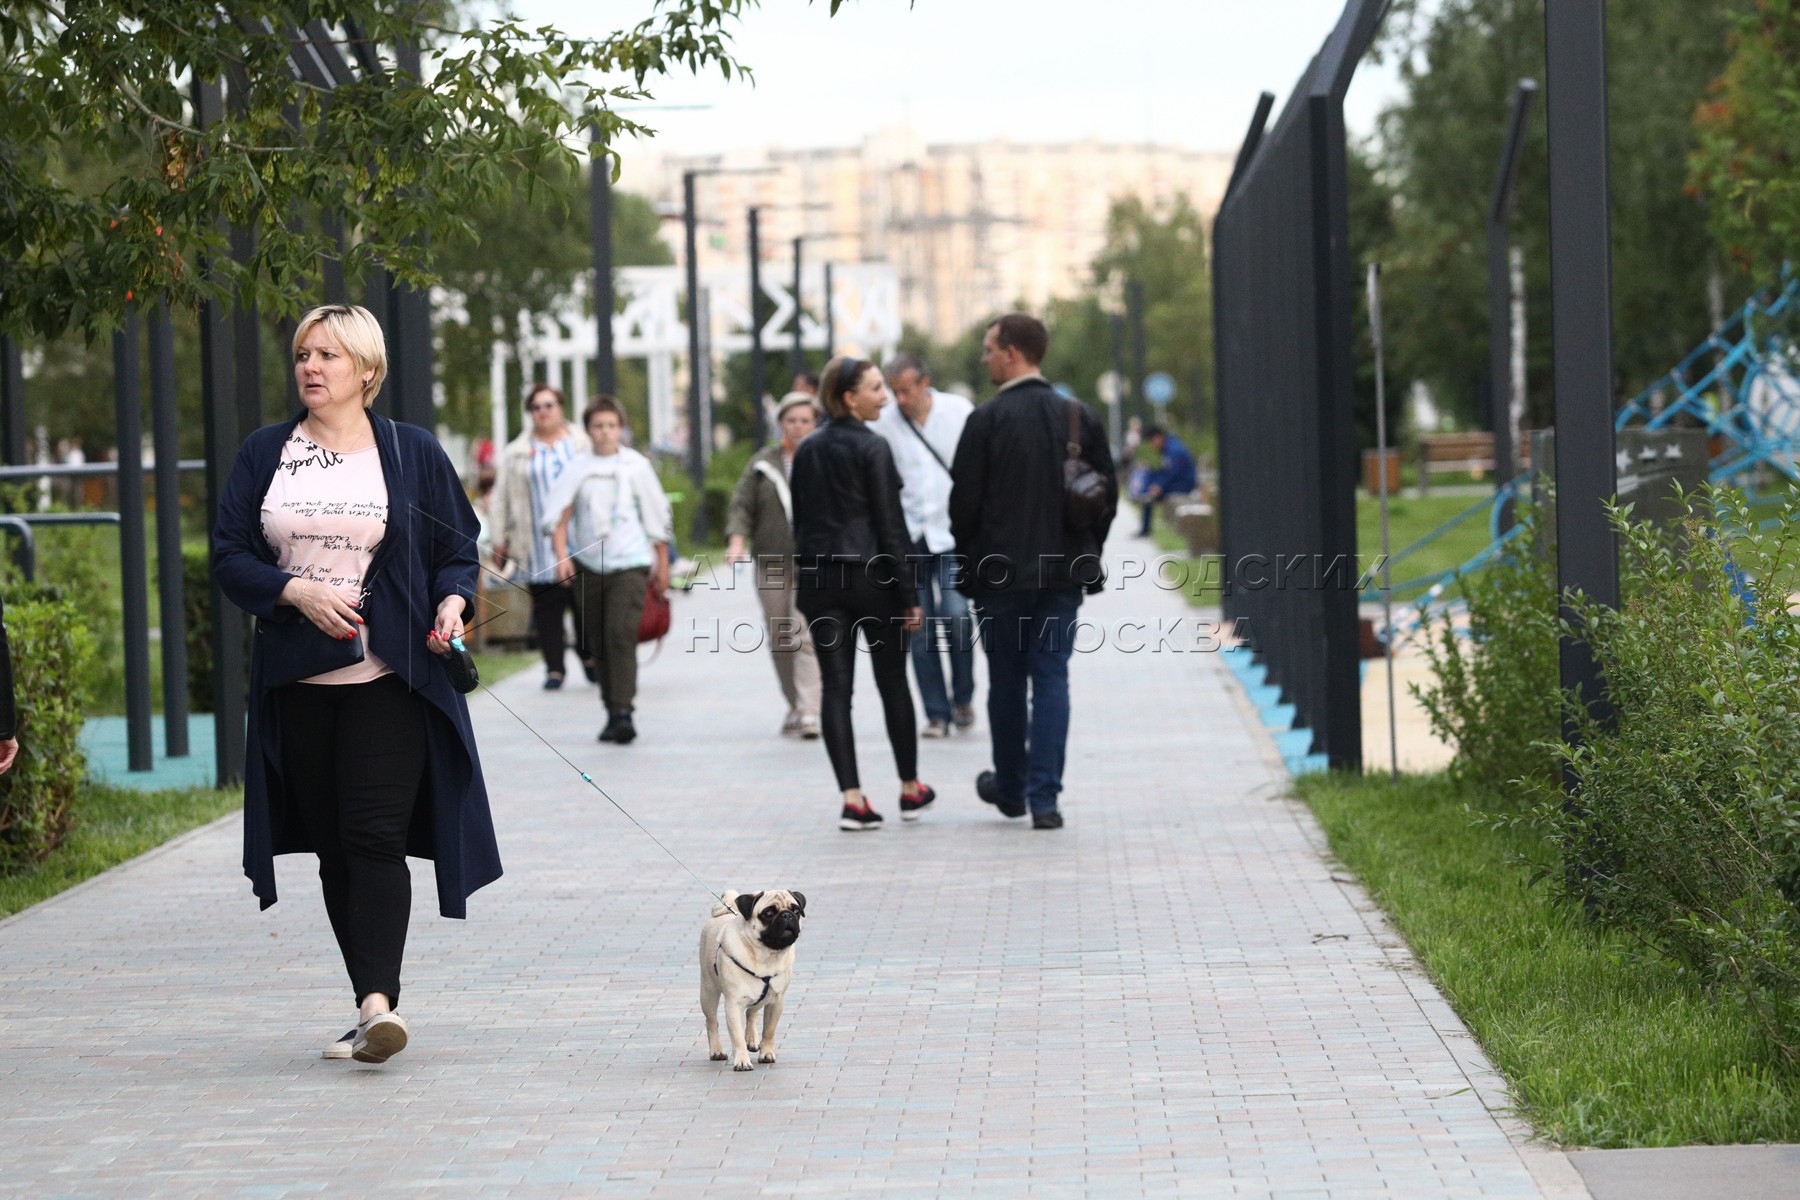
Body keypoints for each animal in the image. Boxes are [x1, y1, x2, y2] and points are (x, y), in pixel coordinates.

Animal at [698, 892, 806, 1072]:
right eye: (768, 913)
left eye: (796, 910)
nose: (787, 915)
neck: (766, 955)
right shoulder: (733, 1004)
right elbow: (737, 1036)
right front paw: (742, 1061)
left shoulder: (776, 1001)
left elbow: (769, 1030)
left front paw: (766, 1053)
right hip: (708, 992)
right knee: (711, 1022)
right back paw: (717, 1051)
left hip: (763, 996)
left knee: (752, 1012)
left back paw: (752, 1039)